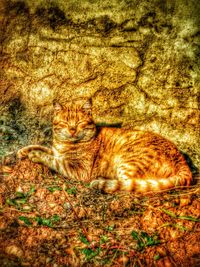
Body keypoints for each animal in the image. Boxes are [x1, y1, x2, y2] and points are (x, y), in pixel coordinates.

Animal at [17, 98, 192, 193]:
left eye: (79, 123)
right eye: (65, 123)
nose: (72, 130)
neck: (64, 144)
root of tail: (182, 160)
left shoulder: (79, 169)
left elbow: (53, 159)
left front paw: (36, 155)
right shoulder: (56, 151)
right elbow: (43, 147)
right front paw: (23, 151)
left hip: (127, 164)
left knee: (129, 185)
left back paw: (103, 182)